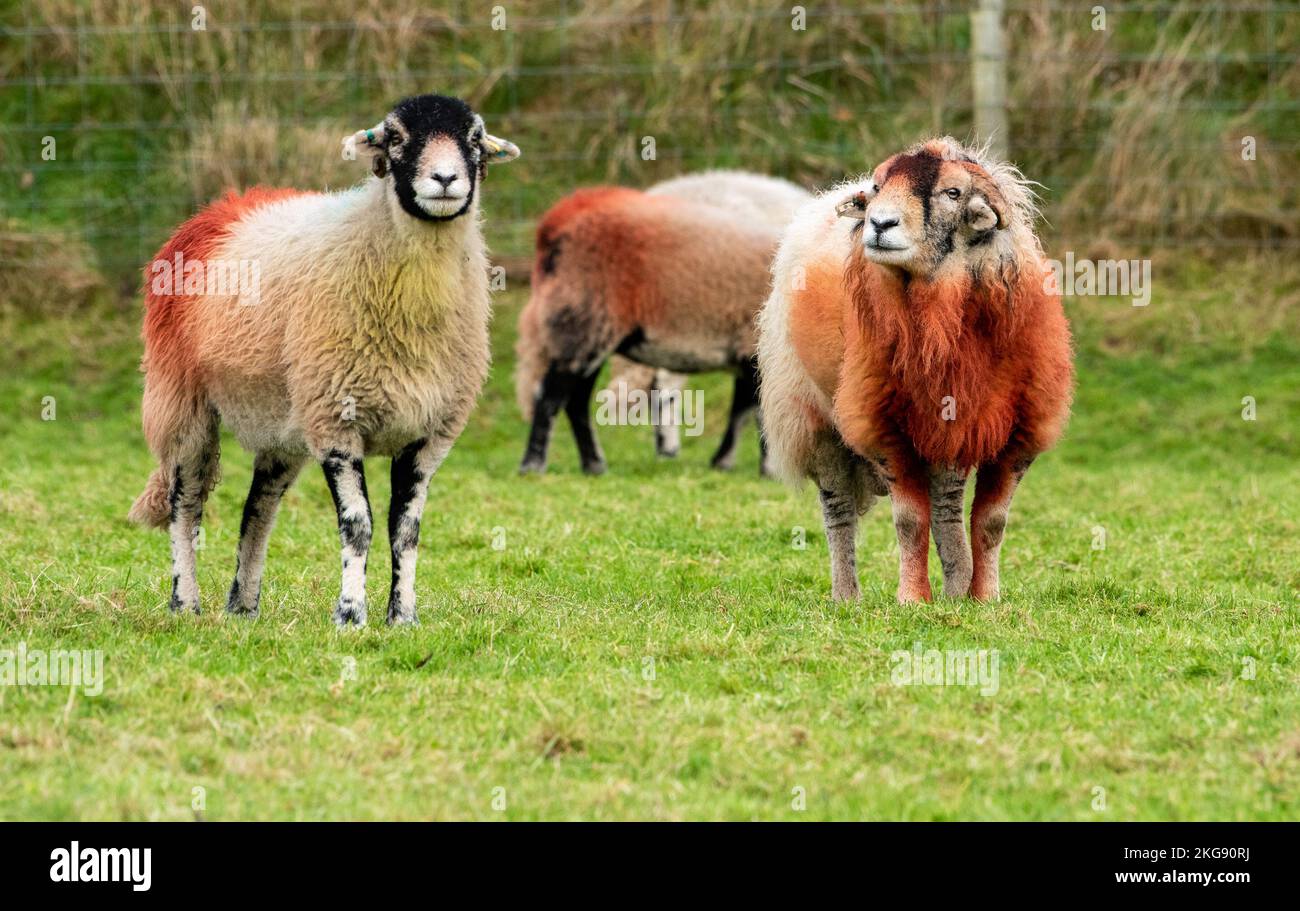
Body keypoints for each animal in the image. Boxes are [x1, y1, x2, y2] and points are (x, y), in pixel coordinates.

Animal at [128, 94, 517, 626]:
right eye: (396, 138)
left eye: (474, 139)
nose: (444, 179)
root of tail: (217, 210)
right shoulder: (336, 421)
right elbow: (359, 524)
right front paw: (351, 616)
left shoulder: (429, 433)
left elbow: (405, 530)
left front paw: (403, 617)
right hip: (181, 400)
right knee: (184, 505)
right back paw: (185, 603)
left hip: (283, 417)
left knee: (258, 508)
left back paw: (243, 607)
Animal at [512, 167, 806, 475]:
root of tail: (561, 216)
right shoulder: (752, 344)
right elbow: (755, 409)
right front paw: (765, 468)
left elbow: (744, 409)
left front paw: (726, 461)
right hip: (581, 318)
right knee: (550, 396)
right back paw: (533, 465)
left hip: (591, 330)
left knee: (576, 400)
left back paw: (593, 464)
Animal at [759, 138, 1071, 600]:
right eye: (877, 186)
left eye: (953, 193)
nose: (879, 223)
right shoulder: (883, 425)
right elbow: (909, 521)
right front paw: (913, 599)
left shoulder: (1022, 432)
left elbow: (992, 522)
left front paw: (987, 598)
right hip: (809, 416)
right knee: (838, 511)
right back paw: (846, 596)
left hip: (945, 426)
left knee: (946, 507)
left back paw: (957, 589)